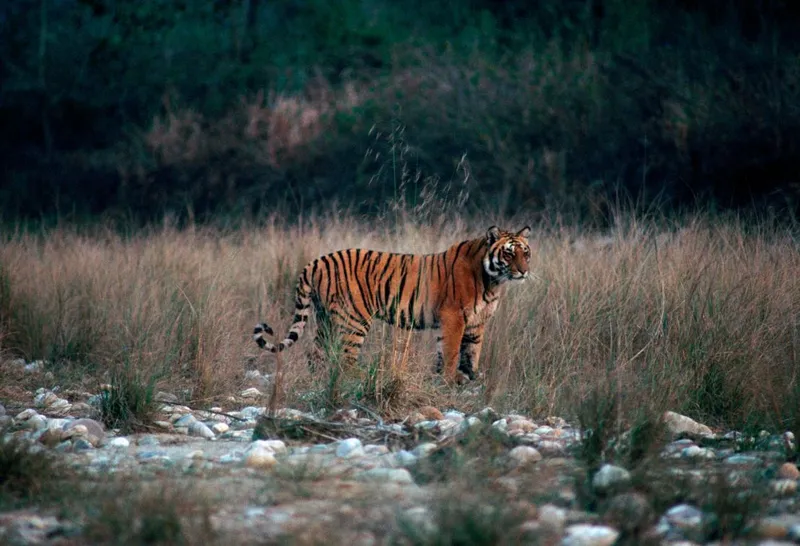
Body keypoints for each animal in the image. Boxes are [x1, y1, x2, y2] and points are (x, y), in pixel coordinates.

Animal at [253, 225, 536, 382]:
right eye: (508, 253)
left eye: (526, 252)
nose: (524, 271)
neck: (493, 281)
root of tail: (316, 261)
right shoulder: (454, 317)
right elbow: (453, 352)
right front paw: (451, 379)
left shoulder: (476, 324)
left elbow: (470, 352)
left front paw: (468, 378)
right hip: (353, 320)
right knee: (344, 359)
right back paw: (360, 378)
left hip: (326, 319)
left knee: (317, 354)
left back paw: (319, 380)